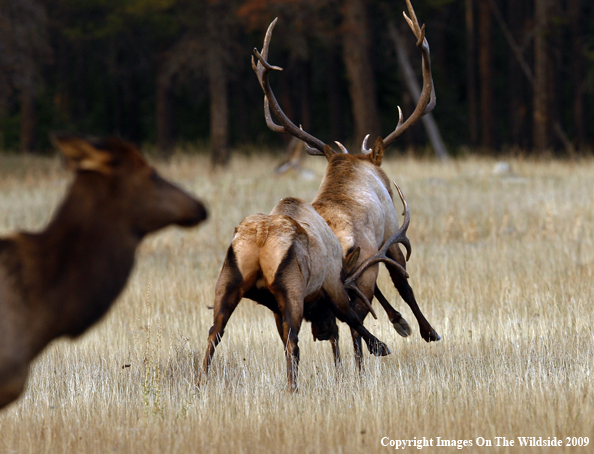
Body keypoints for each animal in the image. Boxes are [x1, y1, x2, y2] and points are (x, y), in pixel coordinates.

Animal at [199, 196, 394, 390]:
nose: (323, 332)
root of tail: (262, 235)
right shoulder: (333, 283)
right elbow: (351, 318)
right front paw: (380, 347)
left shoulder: (276, 309)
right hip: (292, 290)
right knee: (293, 340)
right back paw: (293, 387)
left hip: (228, 282)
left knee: (215, 331)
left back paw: (201, 380)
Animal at [251, 0, 440, 368]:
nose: (321, 330)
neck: (353, 169)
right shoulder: (389, 232)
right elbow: (402, 284)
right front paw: (423, 330)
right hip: (363, 265)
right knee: (359, 318)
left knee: (329, 328)